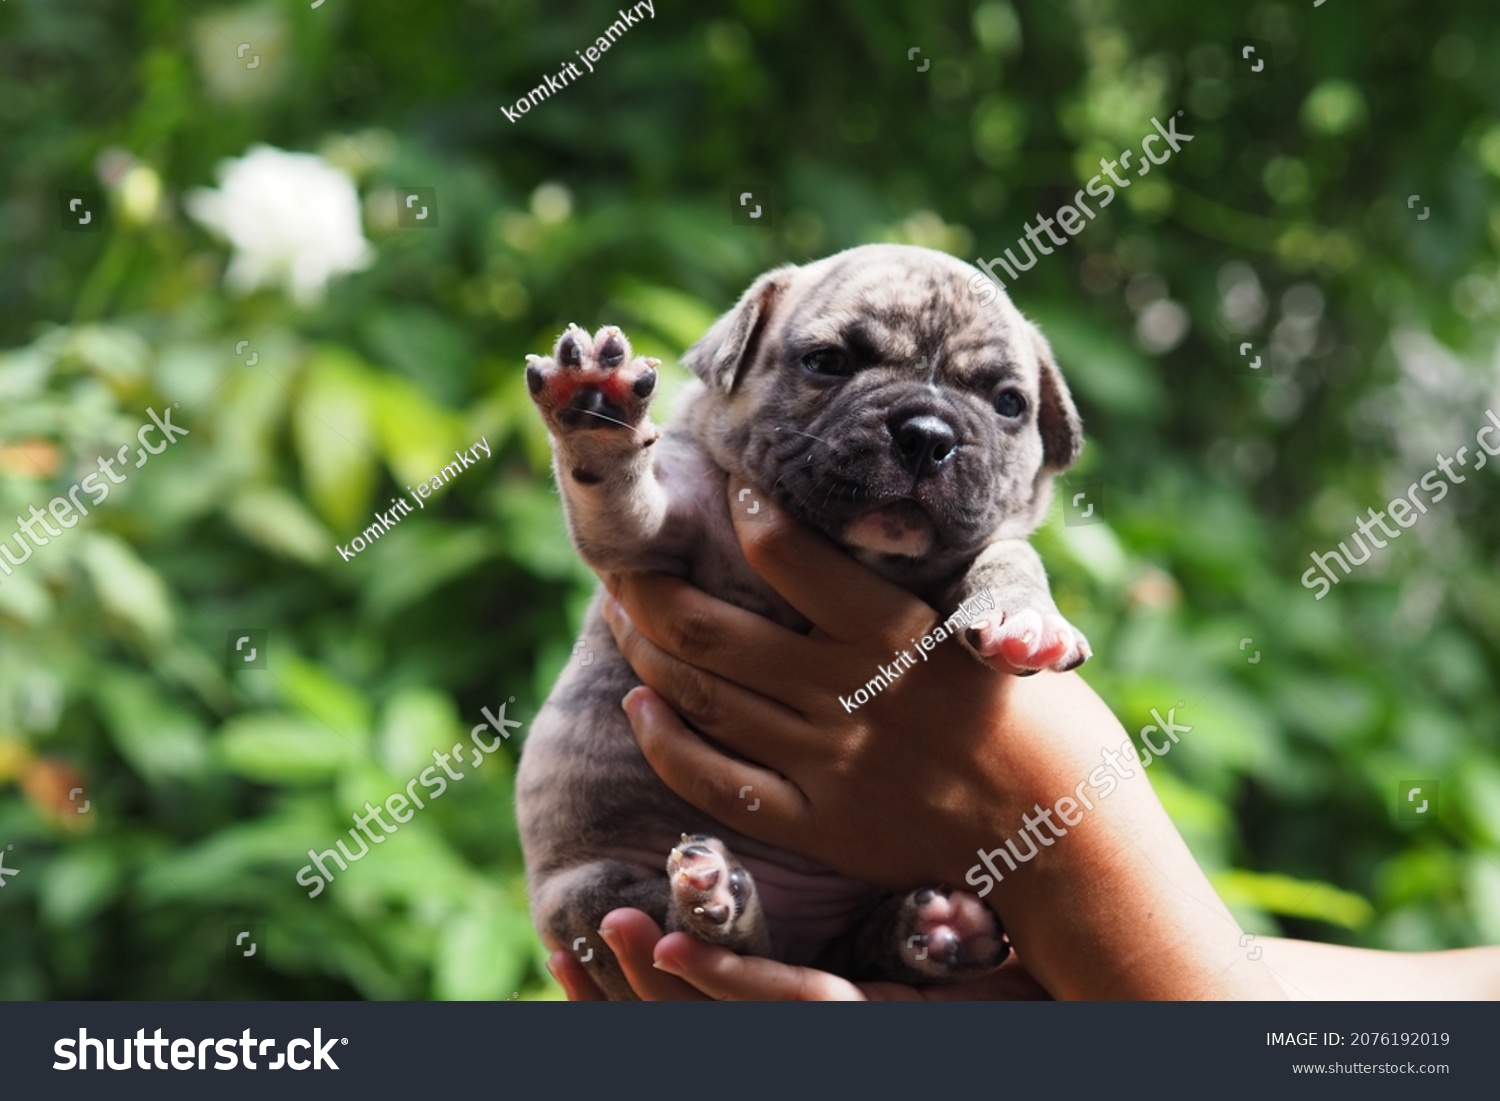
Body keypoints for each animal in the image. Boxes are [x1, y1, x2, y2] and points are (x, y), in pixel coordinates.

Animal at [516, 243, 1092, 1002]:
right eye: (826, 362)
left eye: (1008, 404)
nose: (927, 435)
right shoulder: (654, 534)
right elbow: (615, 493)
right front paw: (597, 412)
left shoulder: (975, 545)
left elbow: (1011, 554)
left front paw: (1025, 617)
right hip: (587, 892)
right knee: (685, 925)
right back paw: (716, 899)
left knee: (855, 948)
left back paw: (934, 933)